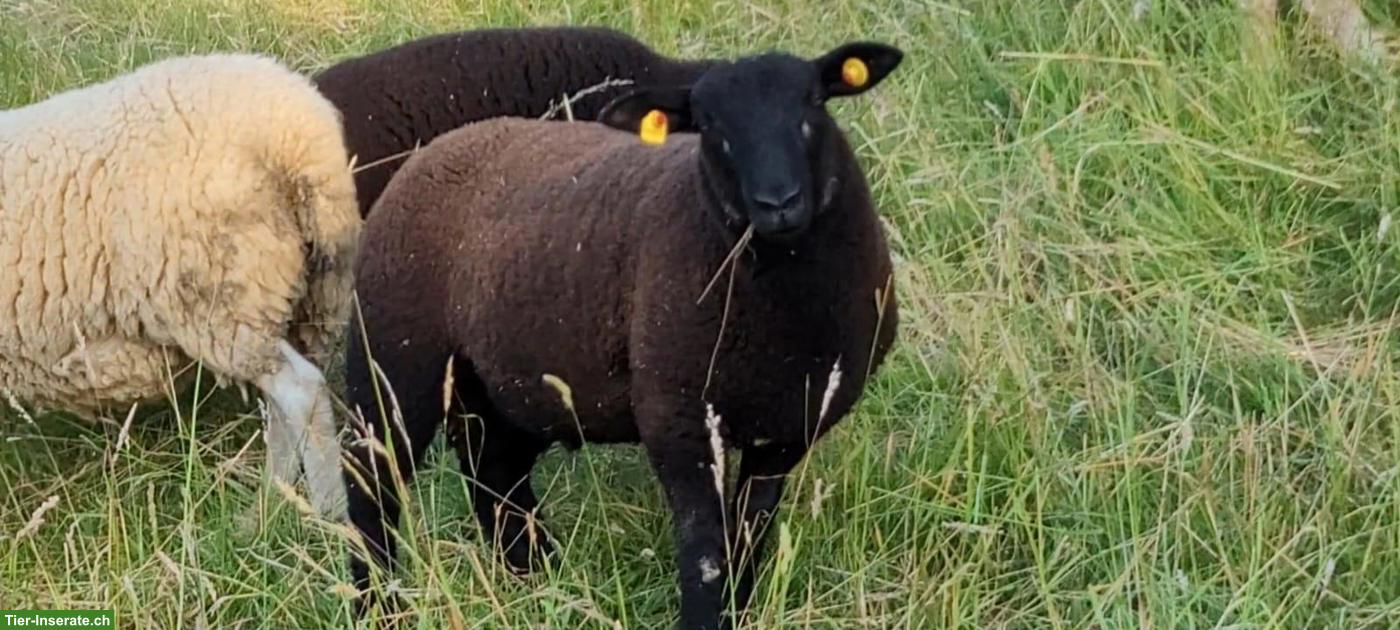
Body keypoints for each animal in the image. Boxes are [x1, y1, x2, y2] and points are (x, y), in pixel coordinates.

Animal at [0, 54, 359, 518]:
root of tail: (303, 138)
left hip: (224, 301)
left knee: (302, 393)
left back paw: (326, 513)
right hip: (304, 297)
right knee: (284, 408)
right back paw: (267, 508)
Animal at [343, 42, 904, 628]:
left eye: (814, 101)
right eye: (707, 124)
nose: (779, 202)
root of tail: (434, 153)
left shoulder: (787, 427)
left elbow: (749, 535)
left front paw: (738, 608)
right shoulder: (678, 419)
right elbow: (705, 553)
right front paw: (705, 617)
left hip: (500, 385)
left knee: (494, 471)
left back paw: (537, 574)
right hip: (393, 360)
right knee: (371, 484)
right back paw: (378, 603)